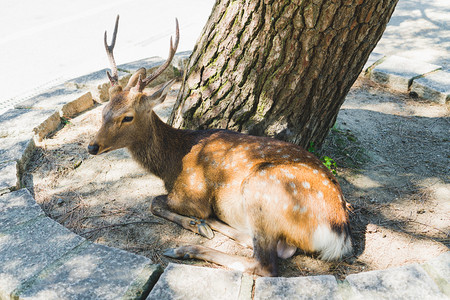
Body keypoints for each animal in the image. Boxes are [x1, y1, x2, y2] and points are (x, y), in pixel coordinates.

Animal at [88, 15, 354, 276]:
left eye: (128, 117)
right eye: (104, 110)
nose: (92, 146)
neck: (170, 165)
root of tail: (339, 232)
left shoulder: (192, 192)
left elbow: (155, 201)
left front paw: (194, 222)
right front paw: (199, 224)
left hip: (262, 188)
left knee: (266, 263)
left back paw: (185, 247)